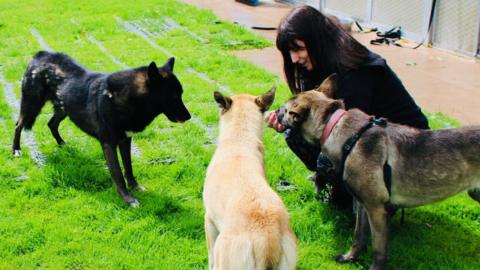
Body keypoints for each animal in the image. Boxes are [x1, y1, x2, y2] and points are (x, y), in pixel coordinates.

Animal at [12, 50, 191, 207]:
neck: (127, 98)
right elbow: (118, 174)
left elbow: (128, 167)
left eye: (181, 93)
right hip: (32, 105)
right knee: (18, 125)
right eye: (173, 96)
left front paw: (134, 187)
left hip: (64, 109)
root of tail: (41, 54)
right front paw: (128, 199)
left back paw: (63, 144)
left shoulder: (125, 141)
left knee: (51, 124)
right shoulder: (109, 145)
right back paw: (16, 150)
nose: (189, 117)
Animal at [276, 74, 480, 270]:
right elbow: (358, 237)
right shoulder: (362, 206)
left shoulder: (377, 210)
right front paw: (350, 258)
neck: (342, 132)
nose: (276, 110)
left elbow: (378, 250)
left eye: (286, 110)